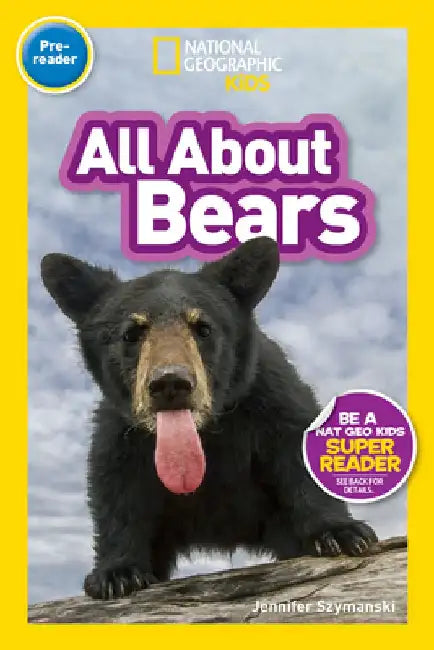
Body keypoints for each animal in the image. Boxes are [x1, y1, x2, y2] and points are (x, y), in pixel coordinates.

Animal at [40, 236, 377, 600]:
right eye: (131, 333)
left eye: (203, 328)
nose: (170, 383)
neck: (205, 434)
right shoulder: (121, 430)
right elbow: (116, 487)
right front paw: (116, 573)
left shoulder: (270, 396)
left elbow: (296, 449)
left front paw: (341, 533)